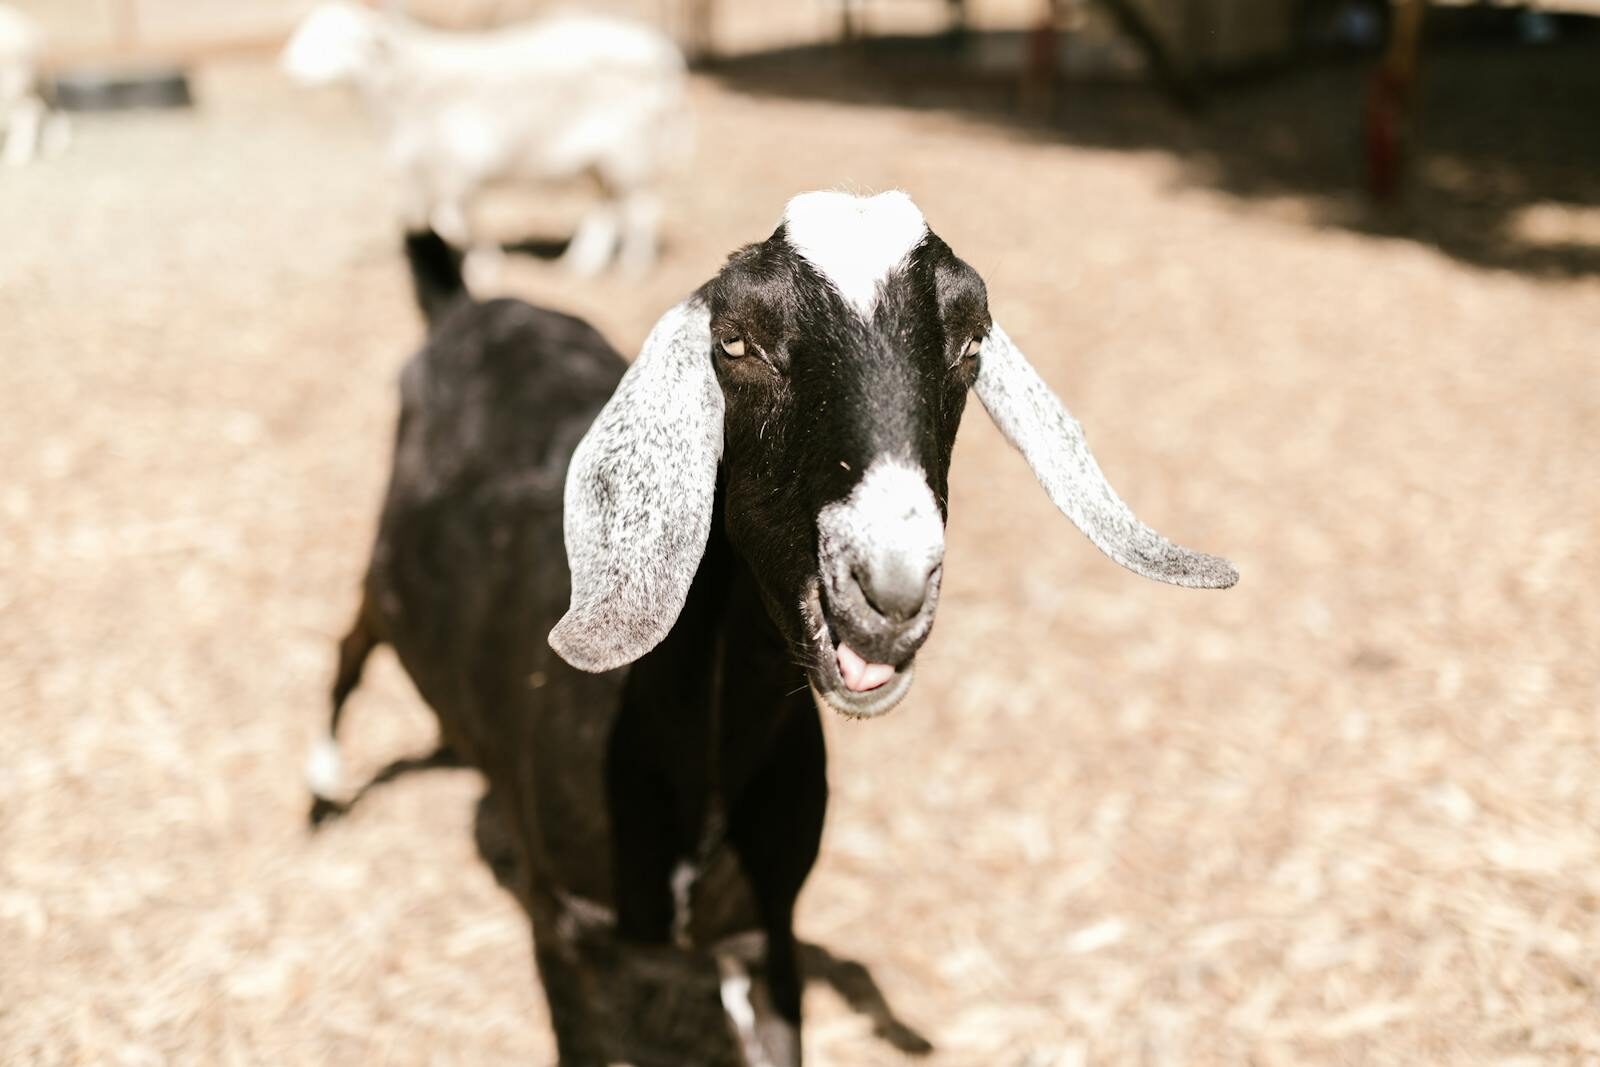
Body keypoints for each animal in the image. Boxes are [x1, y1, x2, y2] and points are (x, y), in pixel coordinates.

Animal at [281, 3, 690, 283]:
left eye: (338, 38)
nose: (288, 69)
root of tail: (665, 55)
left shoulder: (456, 163)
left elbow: (451, 222)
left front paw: (483, 269)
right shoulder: (435, 166)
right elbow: (450, 219)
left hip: (633, 147)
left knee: (642, 206)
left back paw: (634, 267)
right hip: (601, 156)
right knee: (608, 206)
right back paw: (581, 265)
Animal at [319, 191, 1238, 1065]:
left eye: (971, 340)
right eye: (735, 342)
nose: (890, 587)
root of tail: (465, 309)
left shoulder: (770, 931)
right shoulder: (565, 930)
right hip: (377, 581)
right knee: (349, 647)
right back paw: (325, 794)